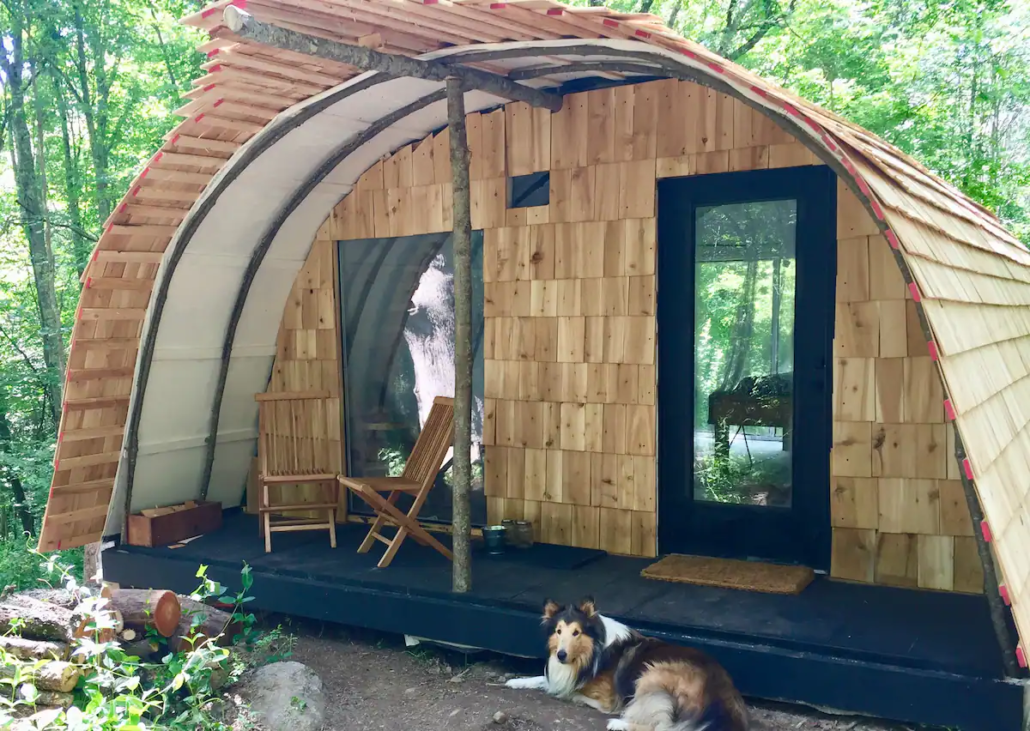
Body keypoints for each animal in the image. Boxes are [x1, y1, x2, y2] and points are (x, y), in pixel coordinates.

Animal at [506, 601, 749, 731]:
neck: (593, 650)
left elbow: (570, 691)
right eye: (558, 631)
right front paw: (515, 681)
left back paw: (618, 723)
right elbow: (543, 678)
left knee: (663, 727)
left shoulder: (606, 696)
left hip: (652, 674)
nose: (561, 655)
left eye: (576, 632)